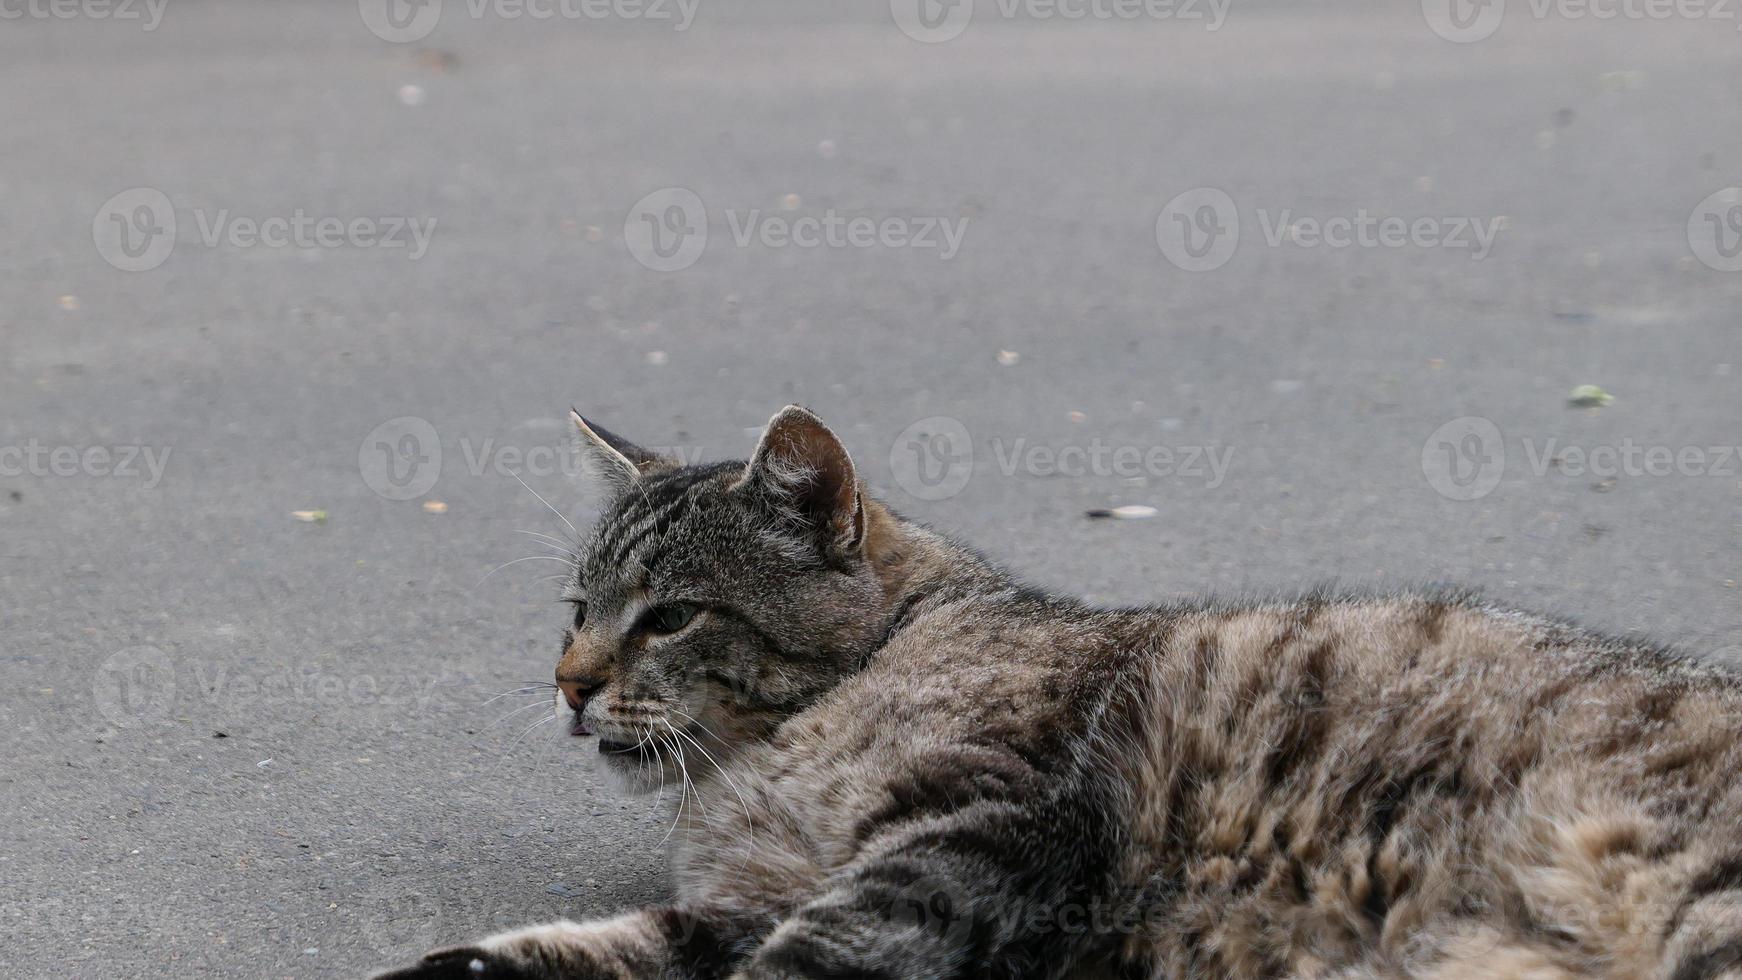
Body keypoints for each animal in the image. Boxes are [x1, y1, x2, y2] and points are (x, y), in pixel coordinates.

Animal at [374, 407, 1742, 980]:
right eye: (575, 609)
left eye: (667, 615)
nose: (565, 683)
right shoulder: (735, 900)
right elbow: (593, 945)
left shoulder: (985, 825)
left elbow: (807, 953)